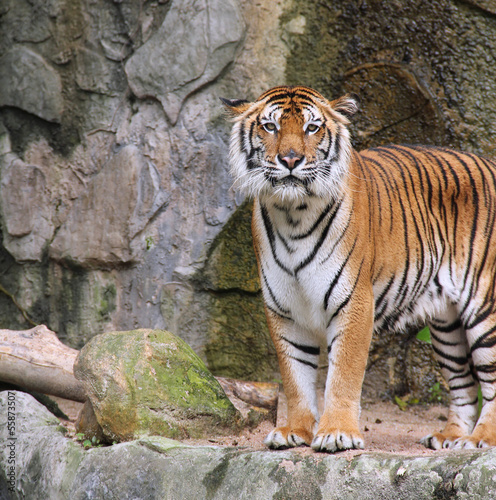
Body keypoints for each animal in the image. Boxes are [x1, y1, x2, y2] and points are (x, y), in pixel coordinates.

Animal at [222, 85, 496, 454]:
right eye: (270, 127)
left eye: (312, 128)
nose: (291, 160)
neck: (293, 214)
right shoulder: (284, 310)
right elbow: (295, 376)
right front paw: (295, 430)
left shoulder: (353, 302)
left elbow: (343, 375)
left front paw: (337, 433)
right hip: (446, 324)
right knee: (462, 381)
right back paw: (451, 437)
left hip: (484, 307)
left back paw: (481, 439)